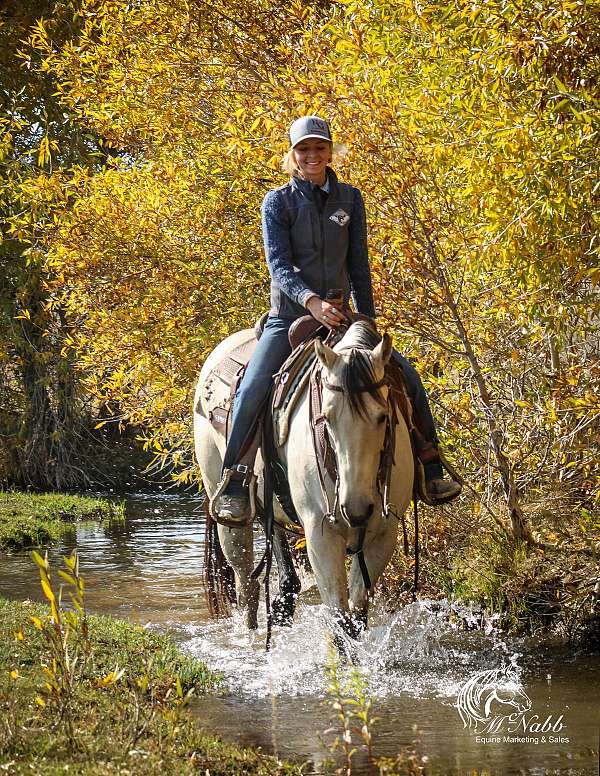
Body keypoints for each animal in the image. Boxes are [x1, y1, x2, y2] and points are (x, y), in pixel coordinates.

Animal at [195, 322, 414, 644]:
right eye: (326, 417)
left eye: (383, 416)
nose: (356, 507)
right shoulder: (321, 535)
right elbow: (340, 620)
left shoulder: (384, 535)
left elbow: (357, 616)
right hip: (226, 512)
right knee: (246, 584)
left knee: (274, 540)